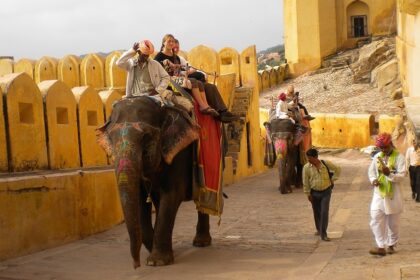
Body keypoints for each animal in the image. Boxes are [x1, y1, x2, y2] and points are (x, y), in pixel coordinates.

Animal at [97, 97, 212, 270]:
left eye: (146, 137)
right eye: (111, 137)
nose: (136, 265)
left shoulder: (178, 153)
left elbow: (172, 195)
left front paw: (156, 262)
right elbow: (139, 199)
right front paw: (158, 254)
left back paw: (201, 243)